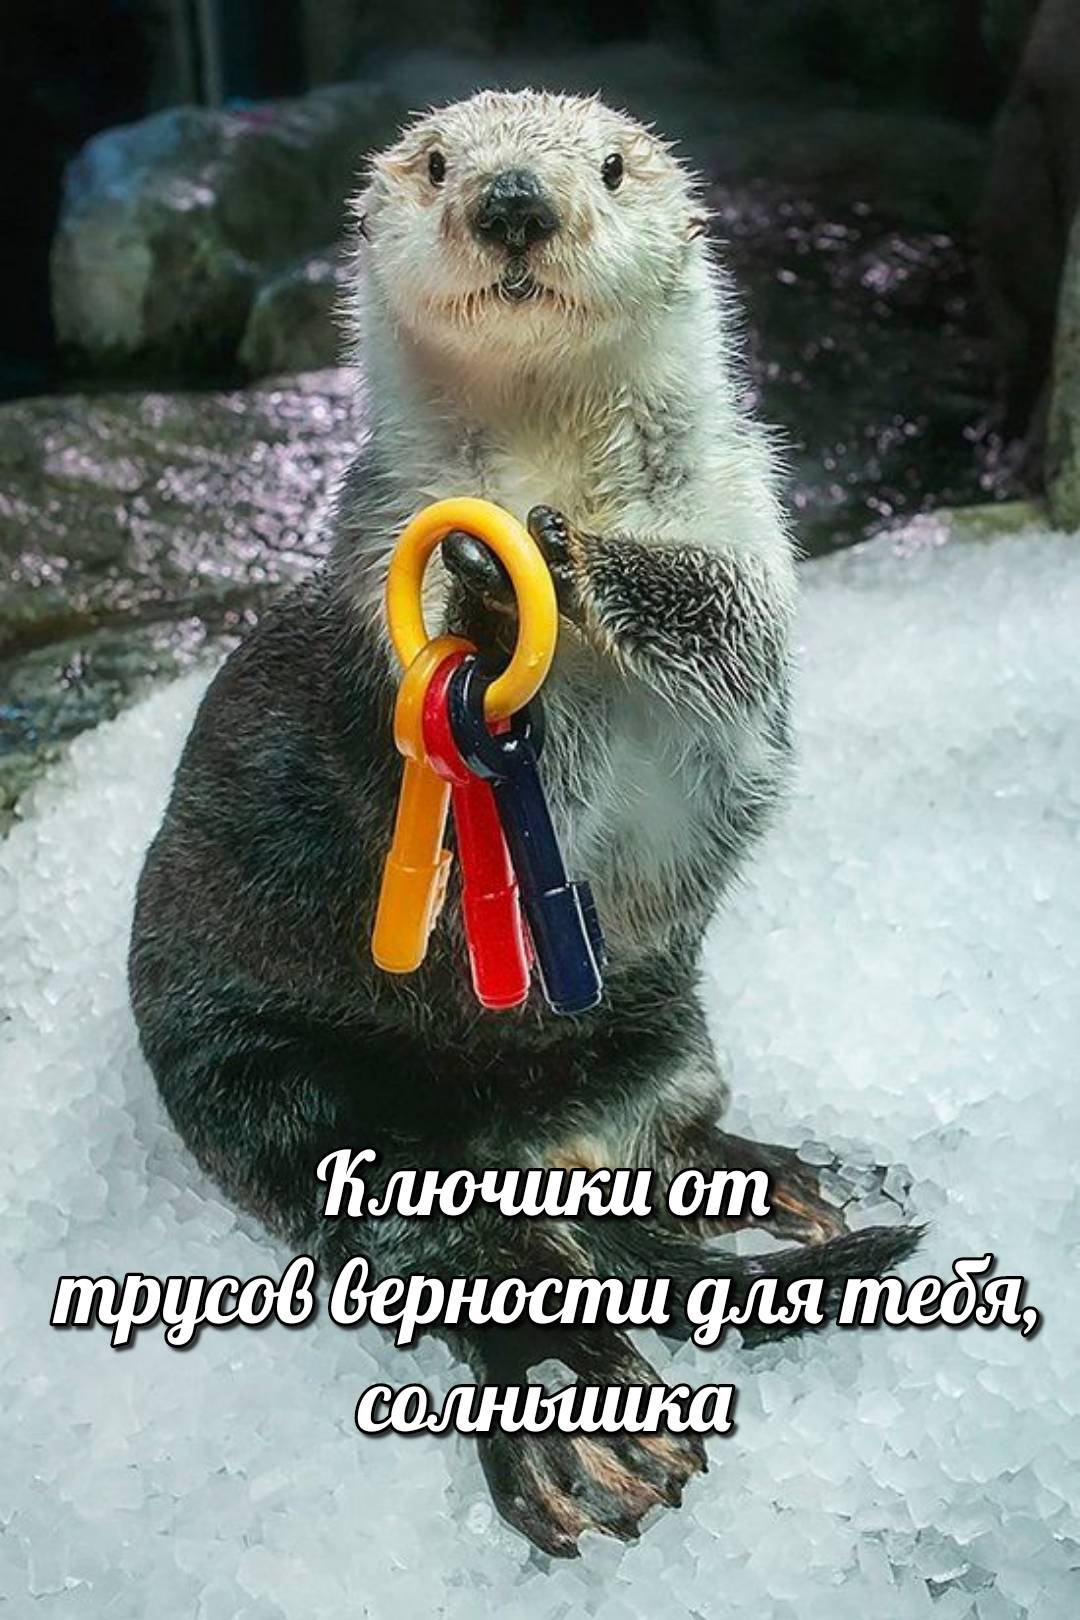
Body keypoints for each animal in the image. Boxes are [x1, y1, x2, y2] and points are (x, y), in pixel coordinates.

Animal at [129, 90, 919, 1558]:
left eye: (606, 166)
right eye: (440, 161)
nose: (510, 200)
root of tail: (519, 1147)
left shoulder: (744, 530)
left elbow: (727, 626)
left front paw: (563, 560)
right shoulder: (376, 609)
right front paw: (490, 592)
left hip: (662, 1033)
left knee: (655, 1144)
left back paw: (786, 1185)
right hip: (284, 1084)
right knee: (458, 1257)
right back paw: (587, 1427)